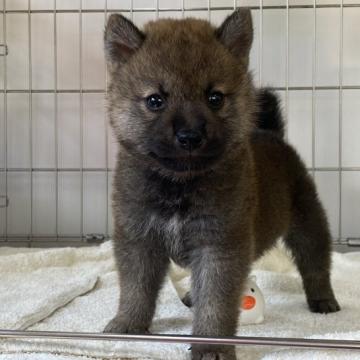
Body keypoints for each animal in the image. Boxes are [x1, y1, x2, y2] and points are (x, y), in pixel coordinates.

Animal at [102, 9, 338, 360]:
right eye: (155, 100)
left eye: (214, 98)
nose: (189, 136)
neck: (180, 185)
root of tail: (272, 134)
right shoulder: (139, 239)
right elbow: (136, 289)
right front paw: (129, 323)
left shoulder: (219, 246)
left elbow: (215, 303)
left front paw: (212, 344)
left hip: (308, 222)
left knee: (316, 263)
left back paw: (323, 299)